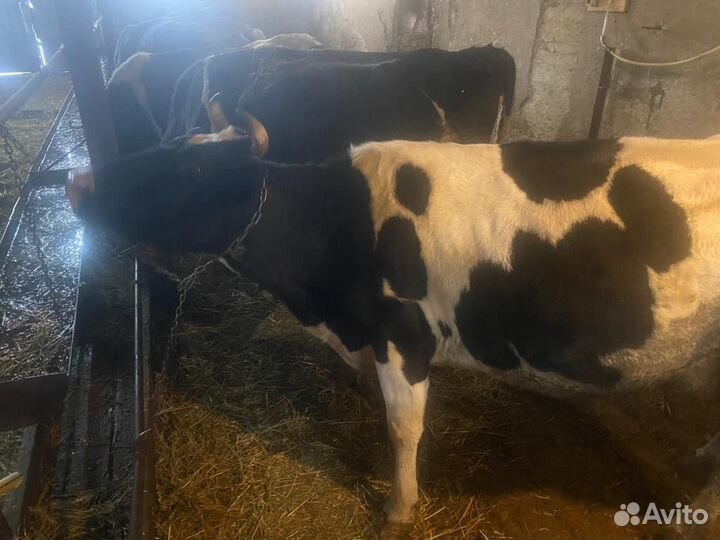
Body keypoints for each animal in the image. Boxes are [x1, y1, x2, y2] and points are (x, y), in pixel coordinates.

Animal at [65, 118, 720, 536]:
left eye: (191, 166)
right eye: (173, 143)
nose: (78, 180)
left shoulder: (403, 337)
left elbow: (404, 429)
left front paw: (399, 508)